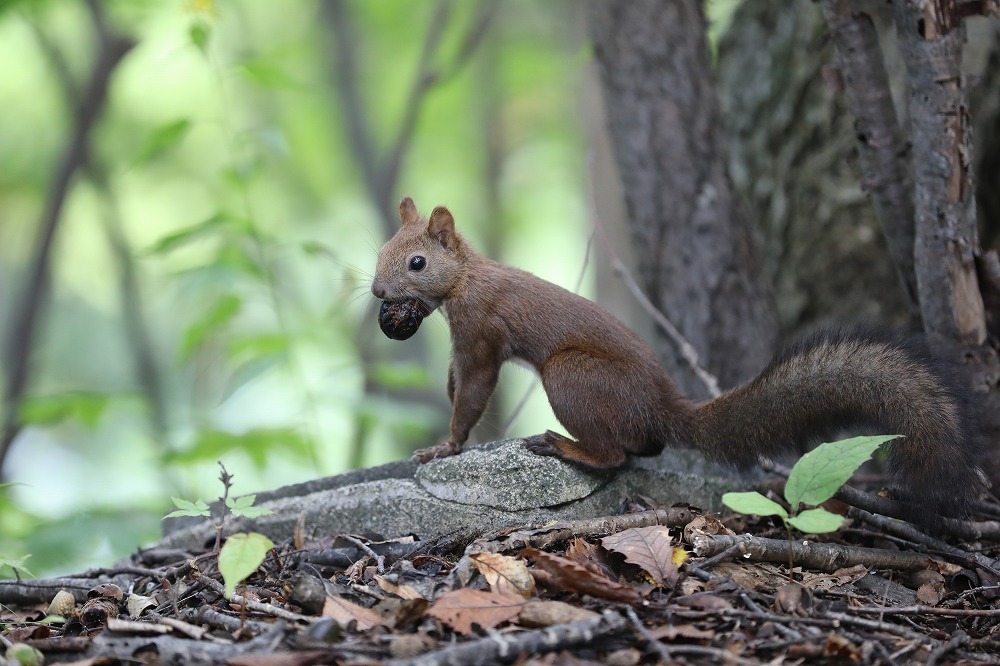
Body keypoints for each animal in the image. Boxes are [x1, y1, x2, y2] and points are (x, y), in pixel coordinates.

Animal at [372, 195, 988, 516]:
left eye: (417, 262)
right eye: (380, 251)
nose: (378, 293)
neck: (465, 279)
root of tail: (662, 407)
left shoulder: (480, 332)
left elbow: (473, 390)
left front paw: (444, 446)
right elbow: (456, 382)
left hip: (572, 376)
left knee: (615, 456)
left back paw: (564, 446)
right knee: (642, 449)